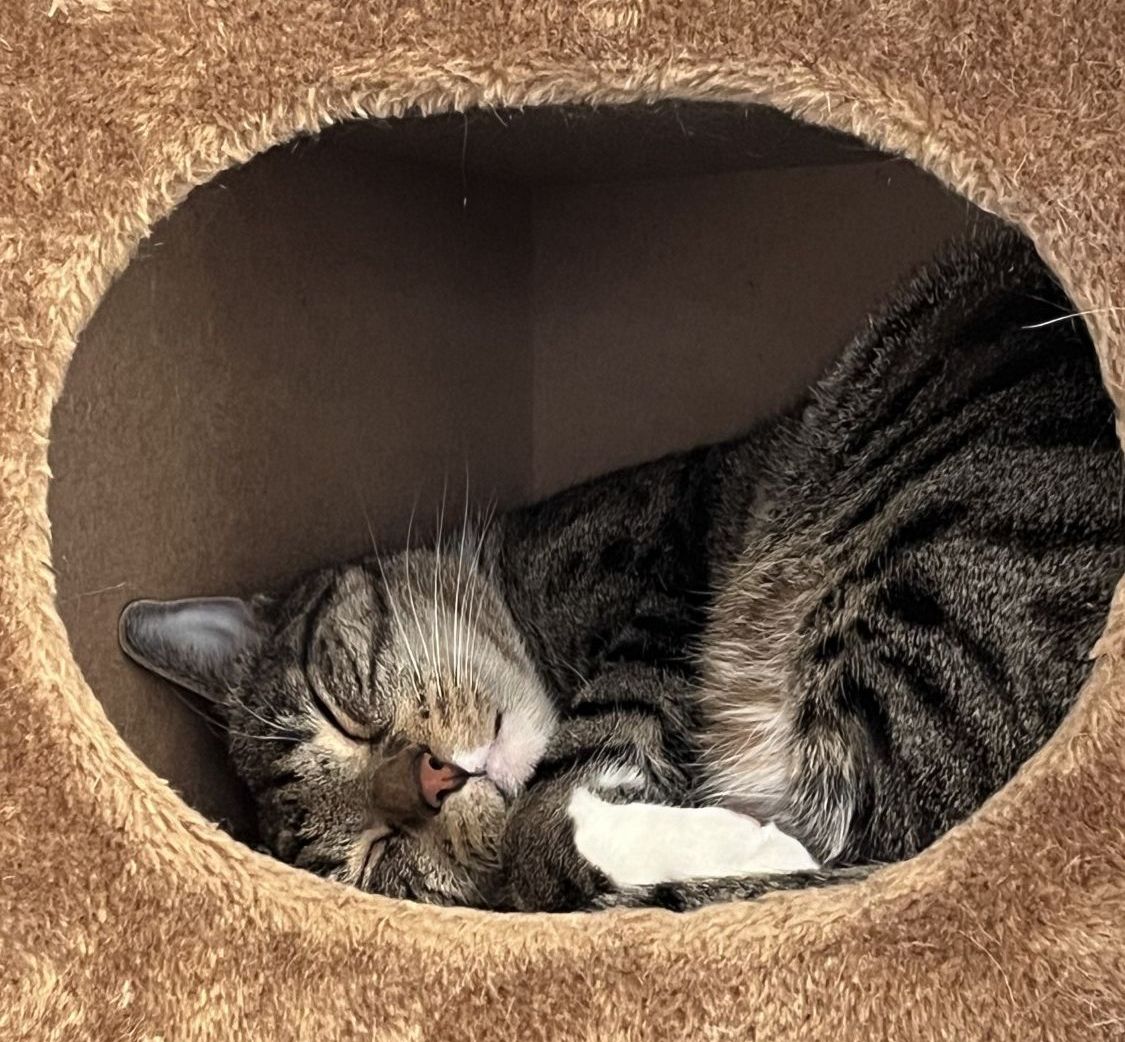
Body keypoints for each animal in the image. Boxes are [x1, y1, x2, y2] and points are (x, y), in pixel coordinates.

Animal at [118, 223, 1120, 909]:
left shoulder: (652, 572)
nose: (434, 779)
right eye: (375, 859)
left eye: (340, 711)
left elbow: (543, 823)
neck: (516, 576)